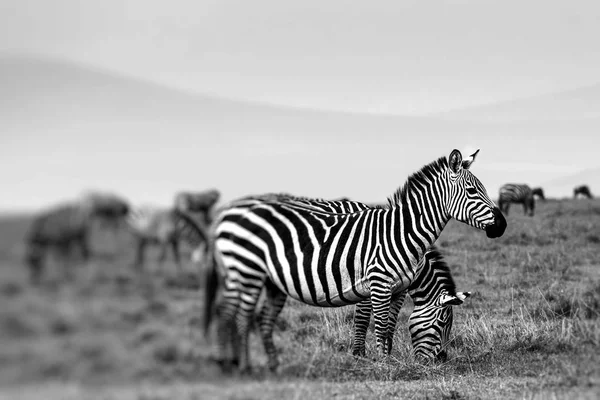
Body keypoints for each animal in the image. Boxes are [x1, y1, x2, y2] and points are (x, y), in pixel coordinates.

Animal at [203, 150, 506, 372]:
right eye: (472, 191)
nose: (502, 225)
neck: (401, 232)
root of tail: (227, 210)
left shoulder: (396, 288)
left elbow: (389, 324)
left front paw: (383, 356)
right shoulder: (375, 282)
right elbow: (371, 321)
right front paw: (375, 361)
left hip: (261, 276)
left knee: (241, 313)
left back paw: (257, 364)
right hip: (245, 269)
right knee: (233, 312)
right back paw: (237, 365)